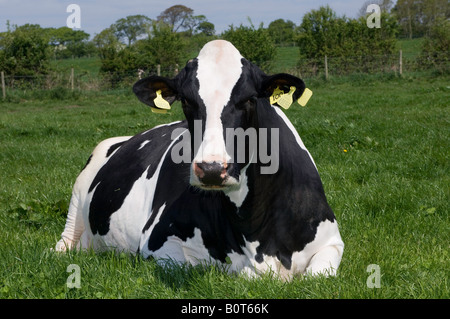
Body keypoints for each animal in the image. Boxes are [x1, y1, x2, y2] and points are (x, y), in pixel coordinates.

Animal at [56, 39, 344, 280]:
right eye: (185, 100)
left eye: (250, 99)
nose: (212, 169)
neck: (256, 231)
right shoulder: (157, 241)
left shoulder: (331, 241)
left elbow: (317, 275)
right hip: (78, 197)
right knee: (64, 242)